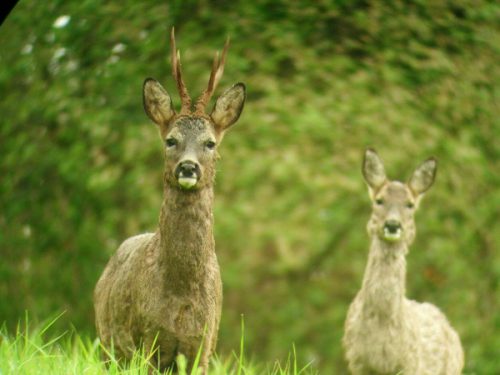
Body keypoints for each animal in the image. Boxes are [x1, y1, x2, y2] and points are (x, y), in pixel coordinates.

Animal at [94, 27, 246, 374]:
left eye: (210, 143)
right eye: (170, 140)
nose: (188, 167)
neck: (181, 300)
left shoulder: (204, 346)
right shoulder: (146, 340)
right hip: (109, 345)